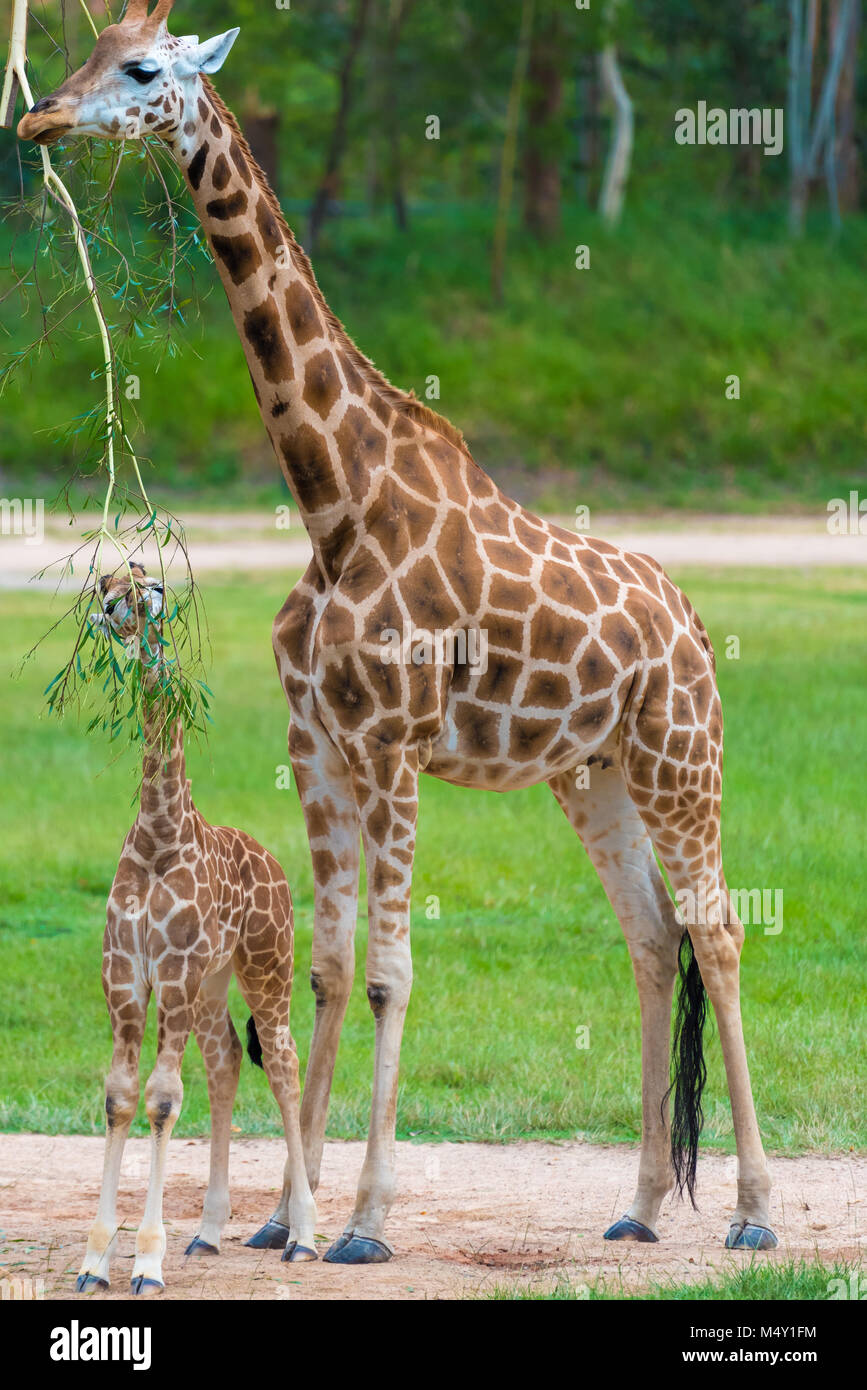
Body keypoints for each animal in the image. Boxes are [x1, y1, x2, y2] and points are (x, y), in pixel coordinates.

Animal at [77, 561, 318, 1289]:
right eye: (107, 585)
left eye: (142, 578)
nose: (132, 601)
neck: (160, 834)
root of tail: (276, 862)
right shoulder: (126, 973)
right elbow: (120, 1096)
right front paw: (96, 1260)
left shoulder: (173, 972)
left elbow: (160, 1098)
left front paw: (146, 1262)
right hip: (214, 985)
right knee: (227, 1061)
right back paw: (208, 1233)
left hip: (267, 965)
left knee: (284, 1061)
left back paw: (303, 1236)